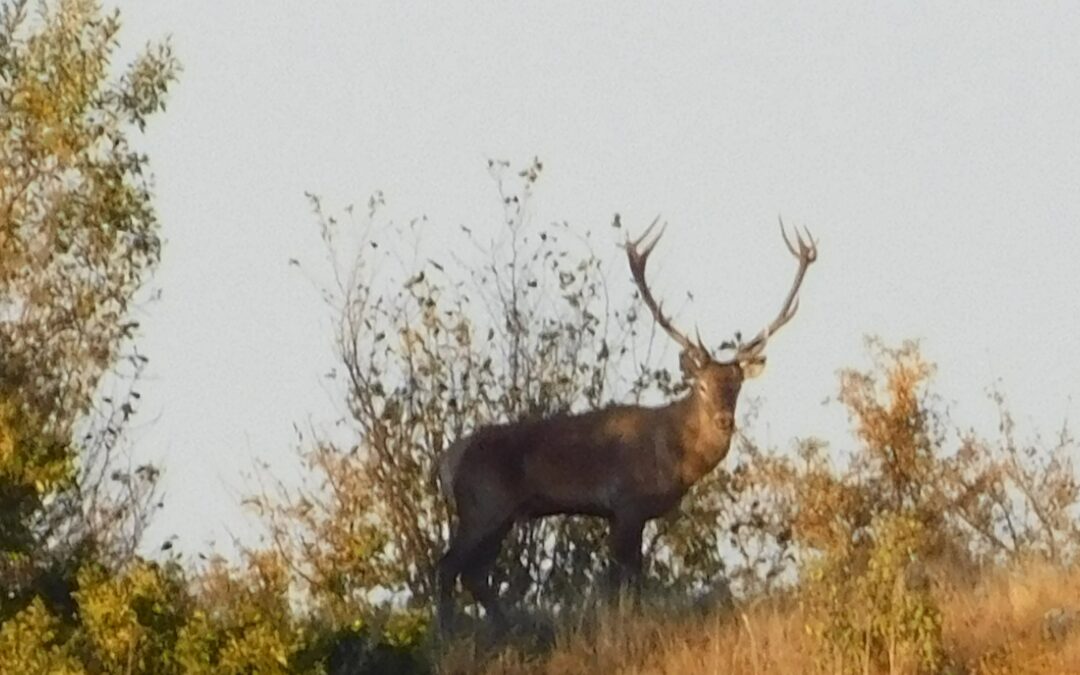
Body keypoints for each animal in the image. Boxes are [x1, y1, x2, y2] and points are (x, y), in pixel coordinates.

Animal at [434, 217, 812, 630]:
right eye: (701, 385)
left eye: (737, 385)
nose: (724, 420)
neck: (673, 455)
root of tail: (446, 461)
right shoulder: (626, 503)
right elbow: (622, 580)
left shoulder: (635, 514)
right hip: (482, 504)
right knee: (448, 566)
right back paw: (449, 631)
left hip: (499, 516)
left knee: (474, 573)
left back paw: (506, 626)